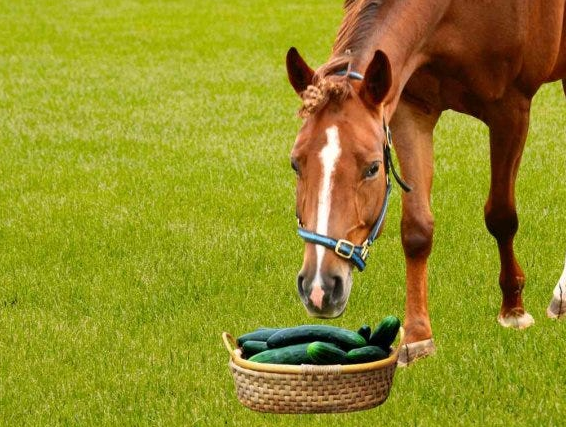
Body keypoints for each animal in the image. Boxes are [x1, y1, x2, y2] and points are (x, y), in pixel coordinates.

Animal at [288, 0, 566, 366]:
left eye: (373, 168)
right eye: (295, 163)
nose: (319, 288)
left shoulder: (511, 110)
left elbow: (501, 216)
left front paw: (513, 310)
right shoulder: (410, 109)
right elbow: (417, 230)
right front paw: (419, 335)